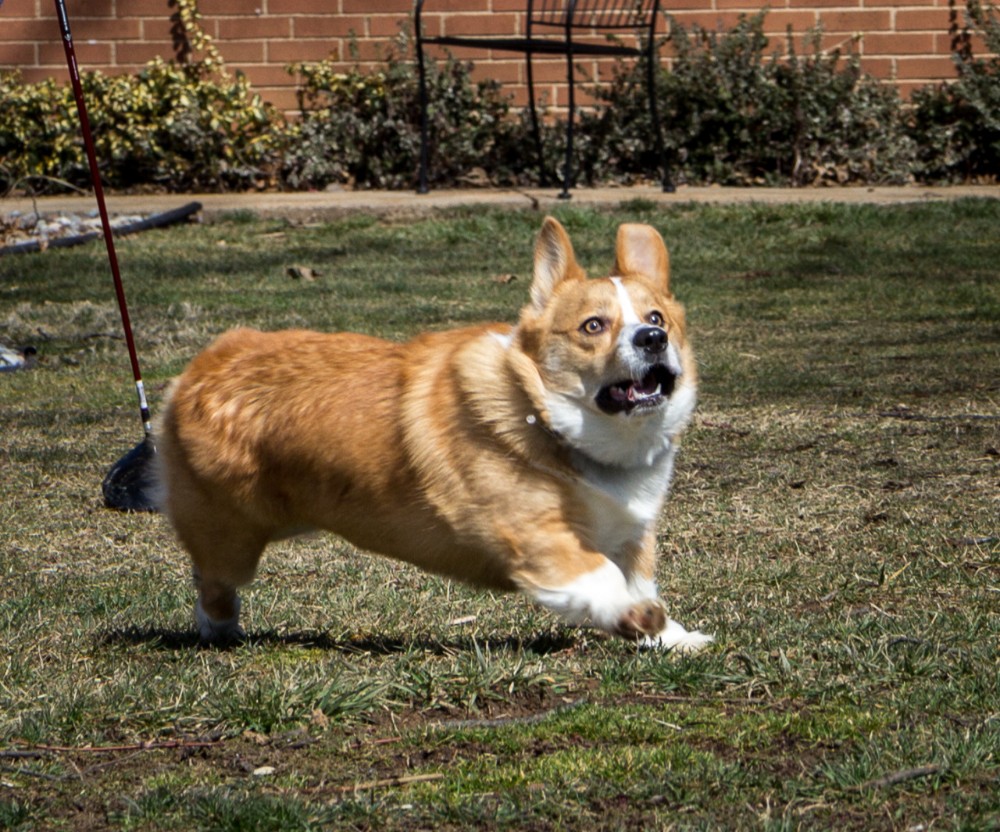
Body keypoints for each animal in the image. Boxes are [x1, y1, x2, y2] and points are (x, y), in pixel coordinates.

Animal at [156, 214, 712, 648]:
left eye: (657, 317)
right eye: (593, 326)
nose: (653, 338)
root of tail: (203, 366)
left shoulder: (632, 535)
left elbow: (639, 581)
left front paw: (673, 637)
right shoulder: (535, 537)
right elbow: (601, 577)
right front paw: (636, 618)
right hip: (231, 537)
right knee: (212, 579)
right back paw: (219, 627)